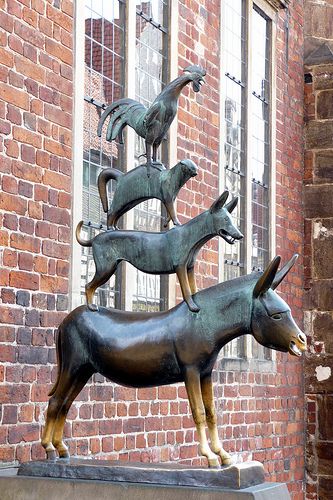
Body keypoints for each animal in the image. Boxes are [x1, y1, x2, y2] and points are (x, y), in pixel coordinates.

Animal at [76, 189, 241, 310]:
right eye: (226, 220)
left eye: (232, 221)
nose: (240, 235)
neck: (191, 236)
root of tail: (94, 239)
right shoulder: (180, 267)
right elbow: (187, 290)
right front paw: (192, 306)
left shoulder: (190, 268)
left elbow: (193, 289)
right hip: (106, 268)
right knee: (88, 286)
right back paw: (90, 306)